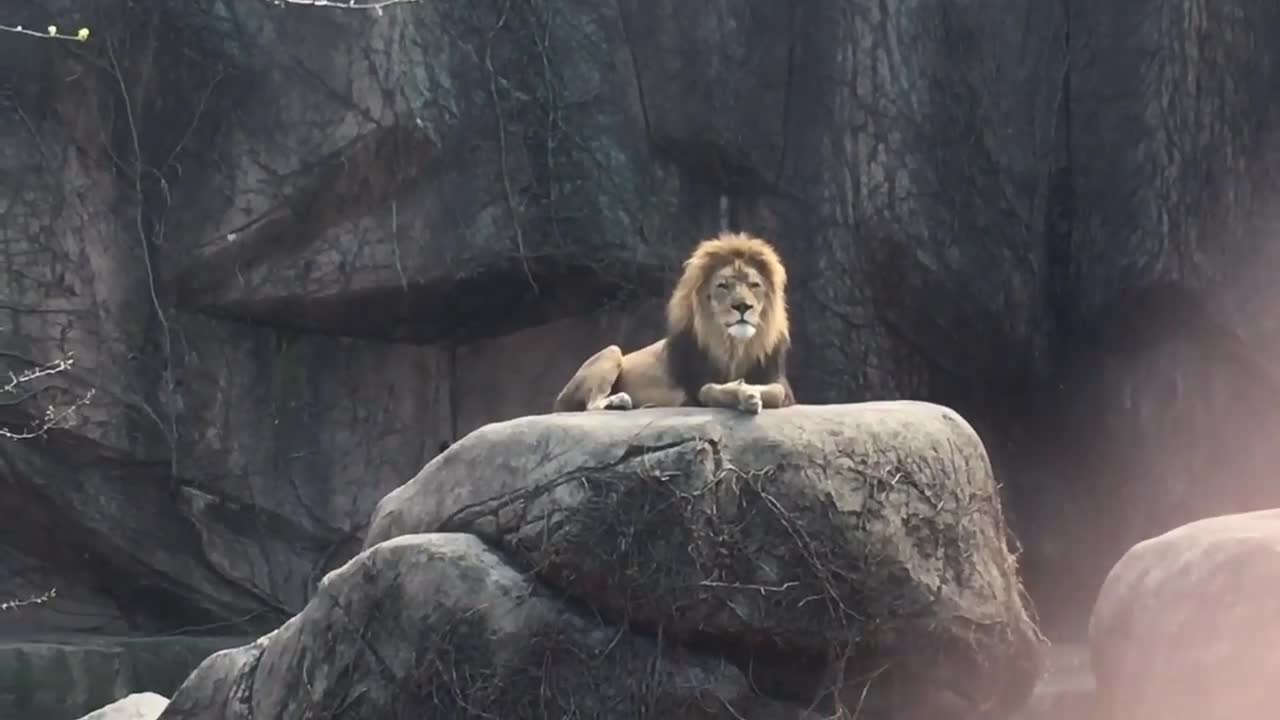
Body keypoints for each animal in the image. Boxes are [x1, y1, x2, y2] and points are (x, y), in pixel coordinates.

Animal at [552, 233, 793, 412]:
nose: (743, 306)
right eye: (723, 286)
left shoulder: (779, 381)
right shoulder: (692, 391)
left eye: (754, 285)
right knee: (591, 405)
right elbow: (708, 390)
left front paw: (751, 391)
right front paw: (744, 393)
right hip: (611, 351)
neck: (733, 346)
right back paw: (618, 401)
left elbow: (777, 391)